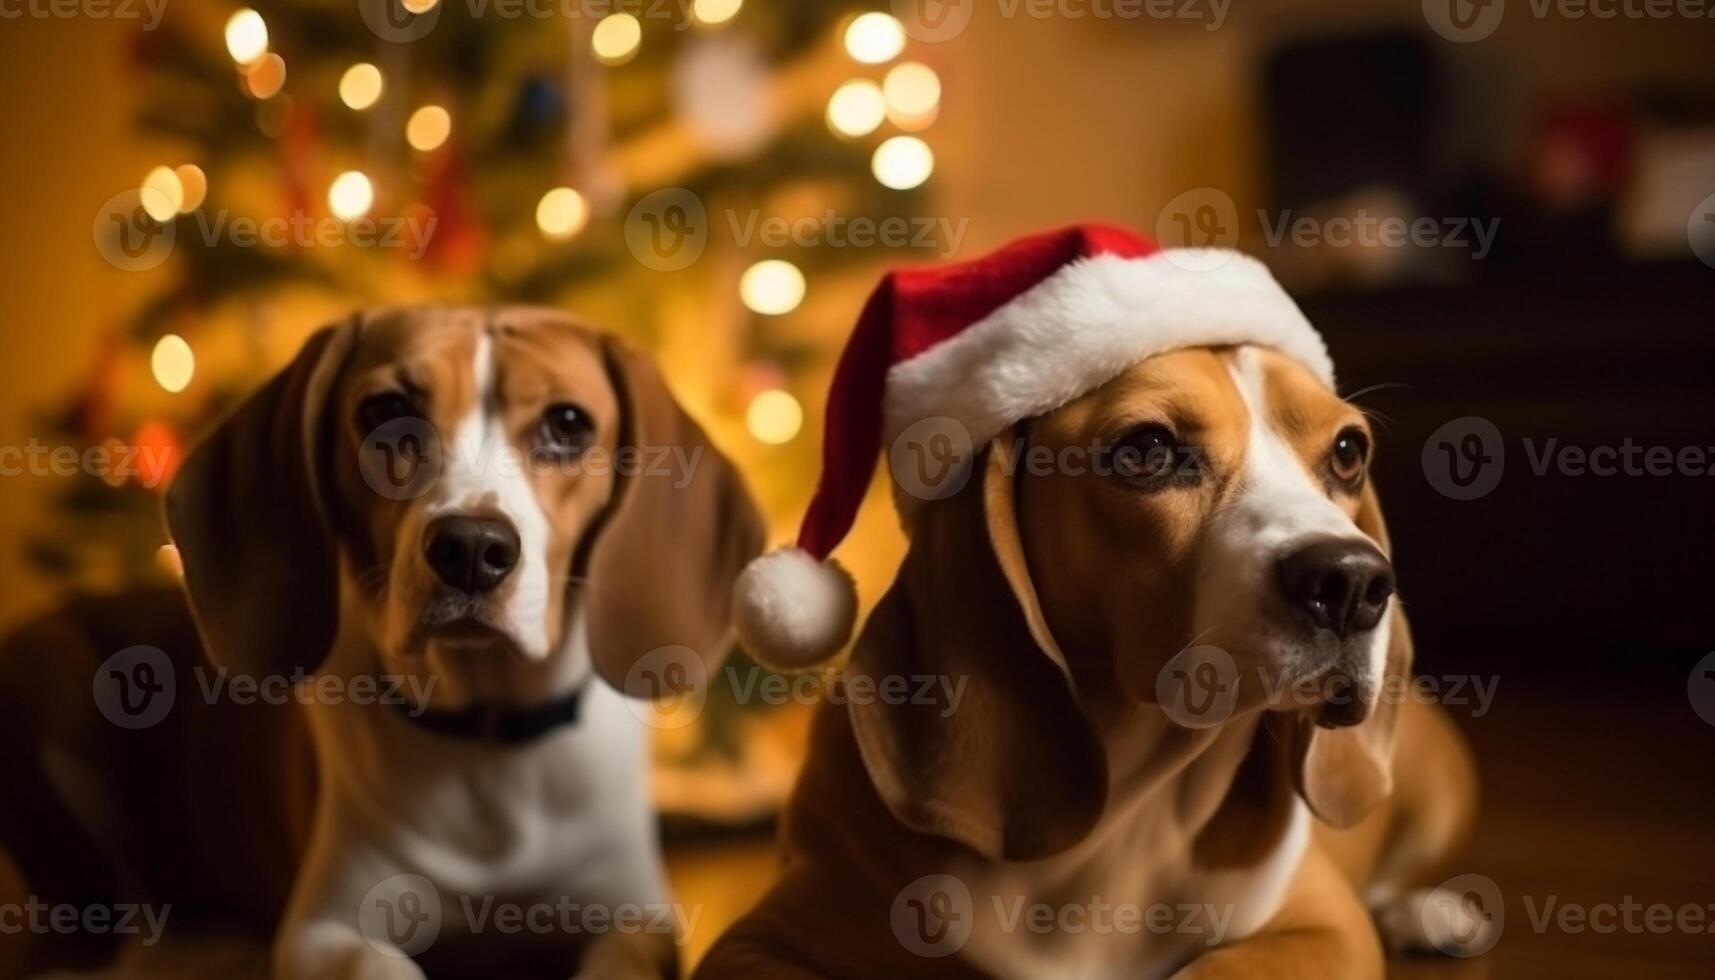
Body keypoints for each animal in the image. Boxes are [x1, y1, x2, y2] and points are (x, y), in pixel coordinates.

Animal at [0, 307, 764, 980]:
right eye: (386, 410)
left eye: (568, 424)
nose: (470, 548)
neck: (488, 742)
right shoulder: (326, 927)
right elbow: (379, 966)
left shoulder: (634, 916)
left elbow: (626, 954)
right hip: (47, 669)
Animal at [703, 228, 1481, 980]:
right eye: (1147, 449)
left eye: (1348, 450)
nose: (1353, 582)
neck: (1127, 809)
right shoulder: (755, 942)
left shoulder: (1324, 928)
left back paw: (1428, 913)